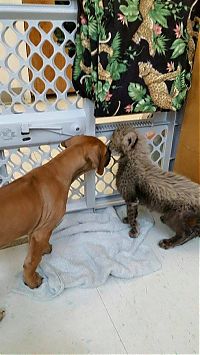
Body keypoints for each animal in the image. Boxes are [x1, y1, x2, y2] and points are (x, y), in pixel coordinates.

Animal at [0, 136, 111, 290]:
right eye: (106, 152)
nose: (111, 152)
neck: (57, 170)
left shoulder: (36, 229)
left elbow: (35, 248)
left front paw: (44, 248)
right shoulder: (41, 232)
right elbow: (32, 261)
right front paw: (31, 281)